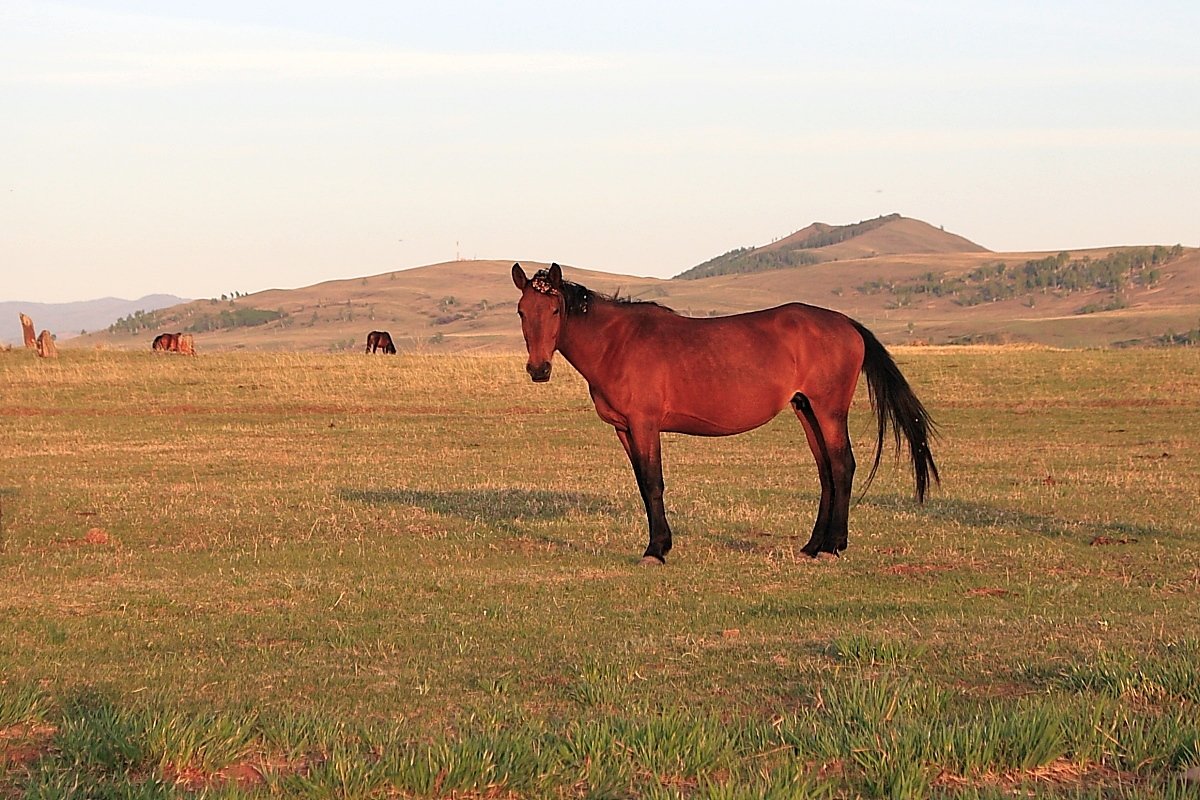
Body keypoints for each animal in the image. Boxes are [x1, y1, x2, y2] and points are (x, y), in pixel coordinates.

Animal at [506, 262, 936, 563]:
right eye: (522, 311)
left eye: (556, 310)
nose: (538, 369)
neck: (617, 342)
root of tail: (845, 322)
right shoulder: (624, 430)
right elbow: (643, 487)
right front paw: (659, 544)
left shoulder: (645, 425)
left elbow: (654, 483)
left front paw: (656, 550)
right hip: (806, 410)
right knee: (827, 473)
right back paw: (813, 546)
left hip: (829, 410)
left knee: (843, 466)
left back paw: (833, 547)